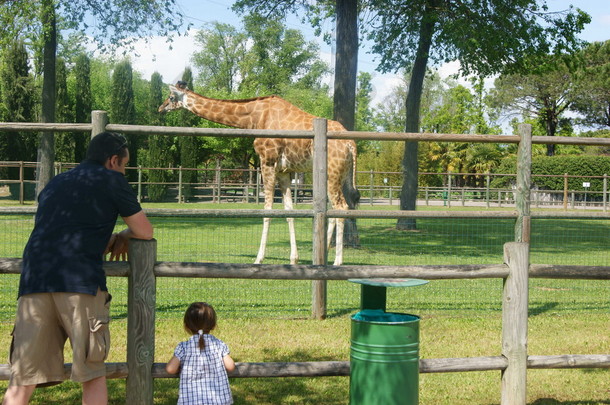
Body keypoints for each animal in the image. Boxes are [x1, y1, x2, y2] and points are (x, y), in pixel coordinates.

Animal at [158, 82, 356, 266]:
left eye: (171, 97)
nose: (160, 108)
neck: (254, 117)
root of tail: (351, 145)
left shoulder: (267, 161)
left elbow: (267, 211)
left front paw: (258, 259)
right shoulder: (284, 171)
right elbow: (289, 211)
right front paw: (294, 259)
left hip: (333, 172)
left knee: (341, 207)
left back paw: (337, 262)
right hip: (336, 175)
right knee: (334, 209)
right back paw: (325, 254)